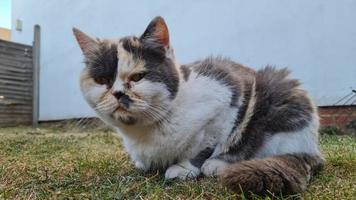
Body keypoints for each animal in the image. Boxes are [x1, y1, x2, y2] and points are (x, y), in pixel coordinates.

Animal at [73, 16, 324, 196]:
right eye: (102, 80)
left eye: (137, 77)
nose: (117, 93)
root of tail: (311, 151)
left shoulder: (226, 98)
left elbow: (204, 146)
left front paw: (184, 168)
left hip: (280, 93)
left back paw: (219, 165)